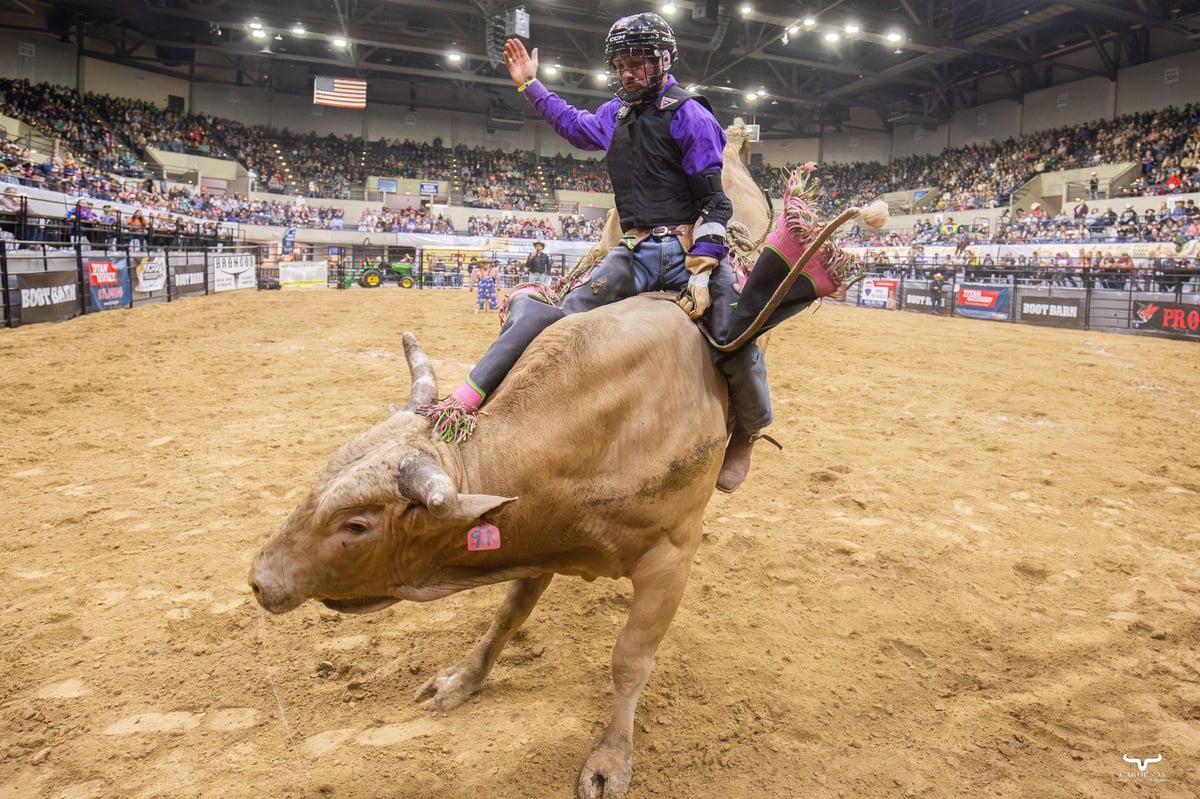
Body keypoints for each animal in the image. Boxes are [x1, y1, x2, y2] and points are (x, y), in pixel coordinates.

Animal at [248, 293, 724, 796]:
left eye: (356, 525)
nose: (260, 580)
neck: (613, 428)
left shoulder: (671, 560)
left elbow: (630, 660)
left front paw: (611, 758)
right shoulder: (539, 535)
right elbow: (507, 617)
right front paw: (461, 681)